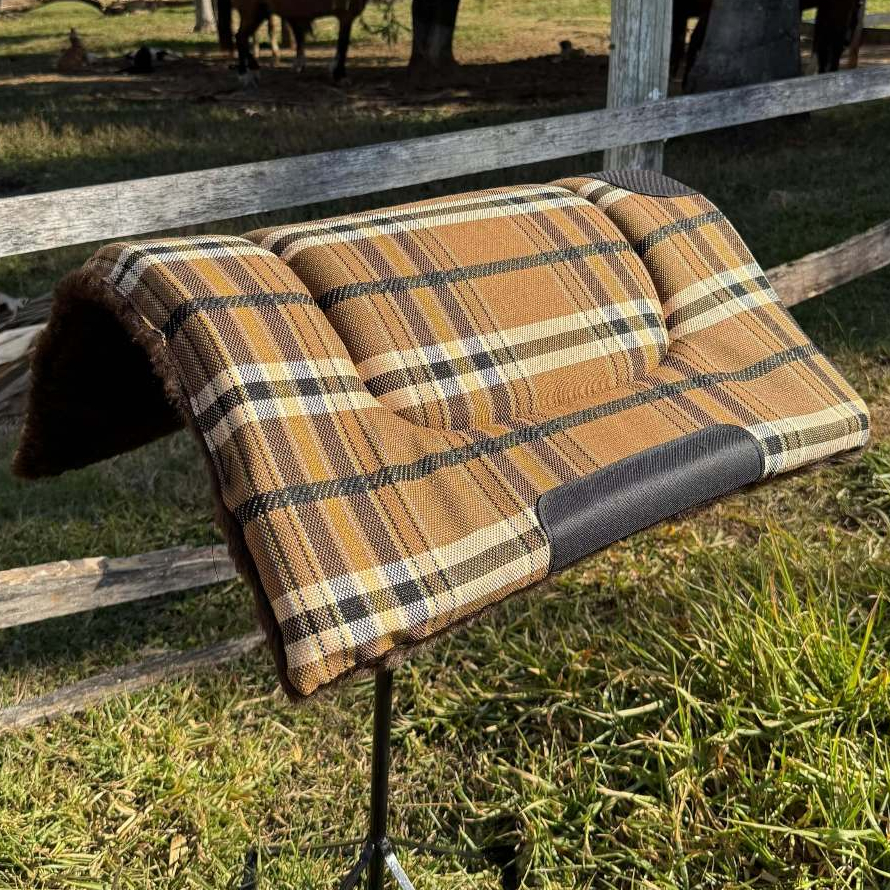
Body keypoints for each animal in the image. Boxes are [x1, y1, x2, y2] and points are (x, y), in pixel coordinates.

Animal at [217, 0, 369, 85]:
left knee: (240, 37)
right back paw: (245, 75)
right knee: (240, 37)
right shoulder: (346, 15)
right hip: (252, 12)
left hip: (261, 11)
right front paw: (339, 75)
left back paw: (254, 69)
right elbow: (343, 45)